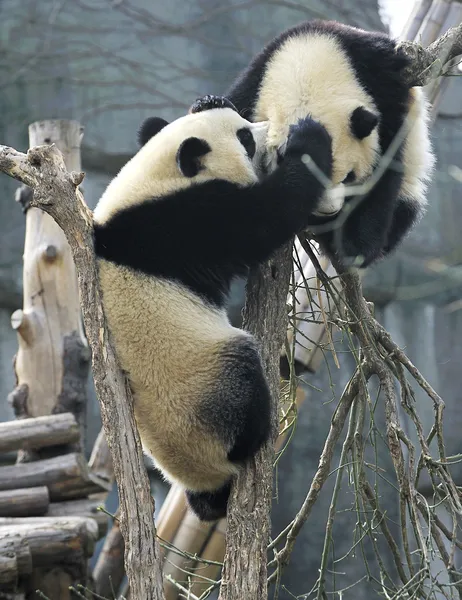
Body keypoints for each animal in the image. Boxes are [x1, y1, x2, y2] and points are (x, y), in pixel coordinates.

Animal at [92, 95, 334, 520]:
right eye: (245, 139)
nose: (269, 133)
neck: (156, 179)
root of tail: (202, 478)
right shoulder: (188, 223)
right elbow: (268, 217)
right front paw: (309, 139)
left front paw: (209, 100)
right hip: (205, 390)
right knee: (241, 375)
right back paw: (258, 434)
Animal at [228, 19, 436, 268]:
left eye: (349, 177)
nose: (330, 212)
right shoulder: (254, 84)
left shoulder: (383, 86)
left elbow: (384, 172)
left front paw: (355, 246)